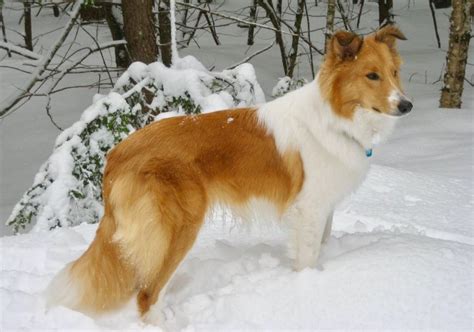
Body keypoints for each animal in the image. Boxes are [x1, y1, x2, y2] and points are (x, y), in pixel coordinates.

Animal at [45, 26, 412, 322]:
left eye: (394, 72)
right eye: (372, 76)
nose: (407, 106)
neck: (335, 118)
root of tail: (118, 153)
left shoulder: (324, 207)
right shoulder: (309, 209)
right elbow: (307, 259)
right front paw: (309, 288)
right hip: (179, 227)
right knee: (147, 294)